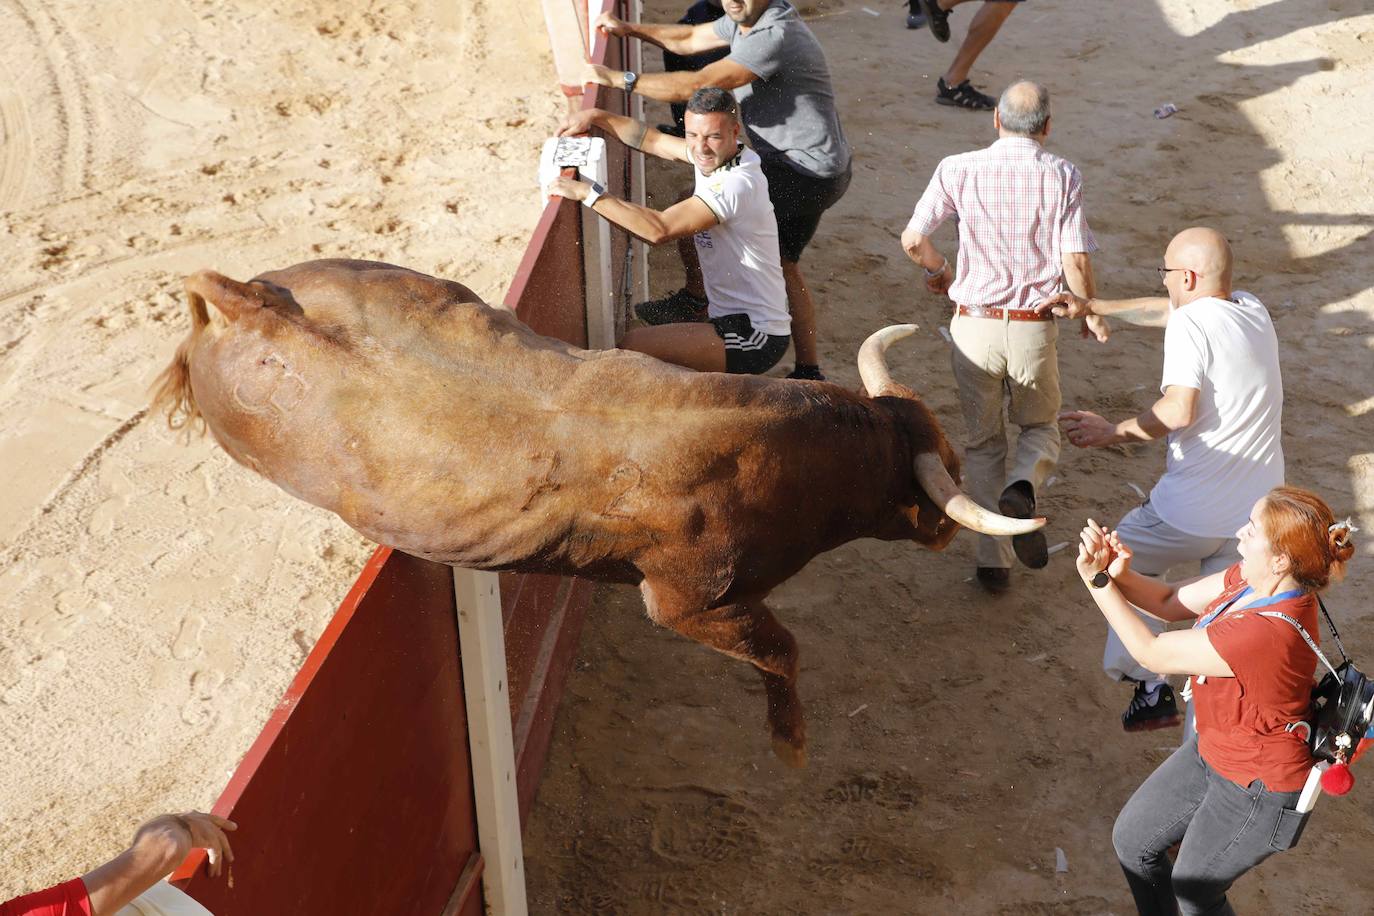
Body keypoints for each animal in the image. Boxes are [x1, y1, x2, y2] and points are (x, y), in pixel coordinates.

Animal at [150, 258, 1038, 769]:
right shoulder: (691, 604)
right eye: (943, 474)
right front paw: (791, 745)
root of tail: (253, 305)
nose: (948, 528)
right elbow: (782, 652)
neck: (788, 450)